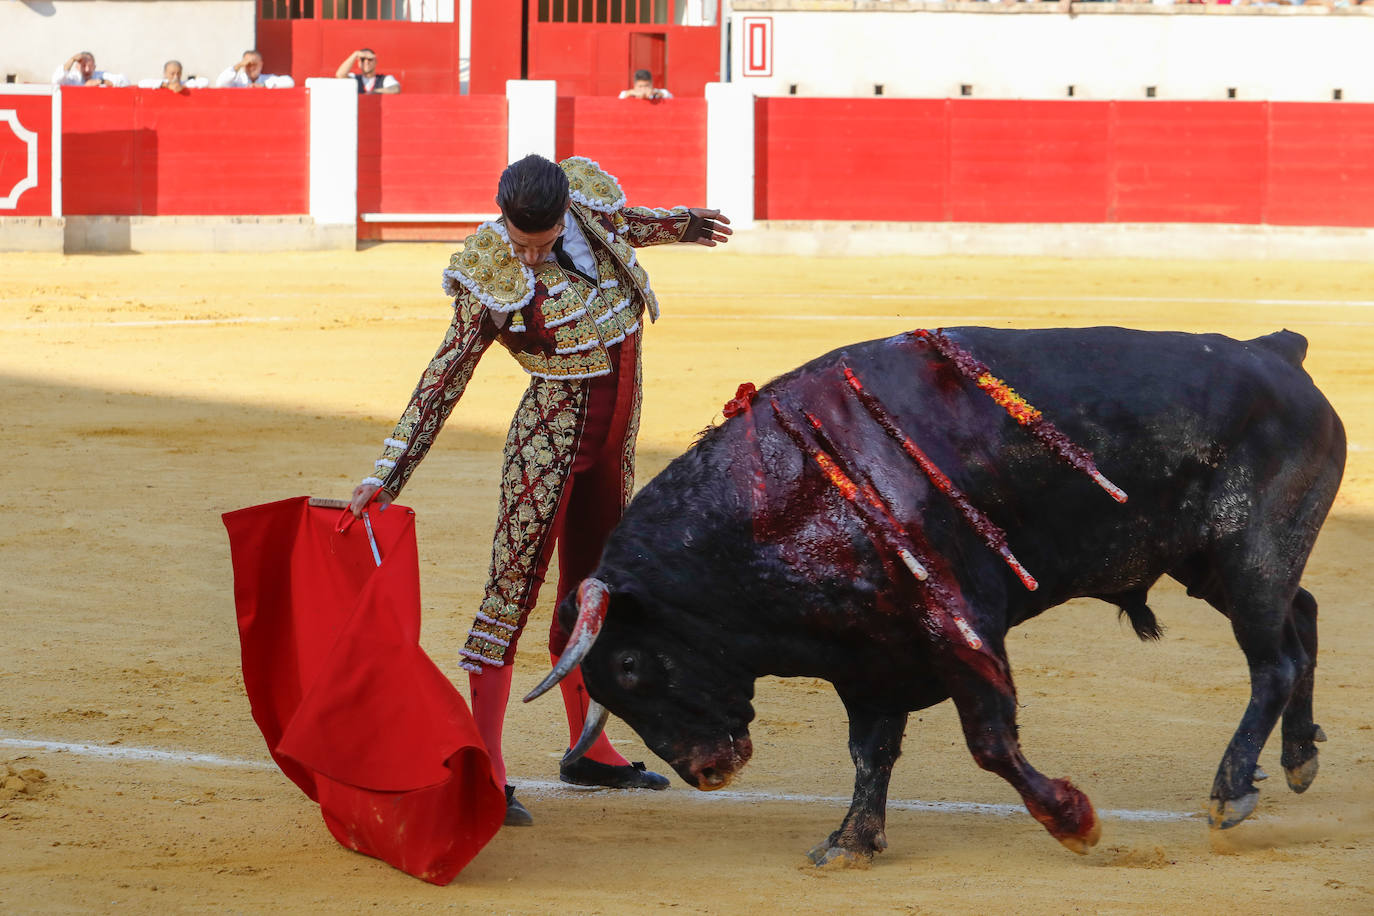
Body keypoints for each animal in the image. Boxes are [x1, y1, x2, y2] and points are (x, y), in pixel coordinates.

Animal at [527, 325, 1352, 862]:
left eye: (630, 666)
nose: (706, 773)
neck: (775, 500)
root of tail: (1276, 351)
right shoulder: (870, 656)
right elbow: (871, 751)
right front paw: (851, 842)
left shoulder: (959, 628)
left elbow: (989, 741)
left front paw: (1074, 820)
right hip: (1212, 564)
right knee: (1303, 618)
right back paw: (1297, 760)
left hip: (1250, 555)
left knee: (1272, 662)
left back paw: (1231, 789)